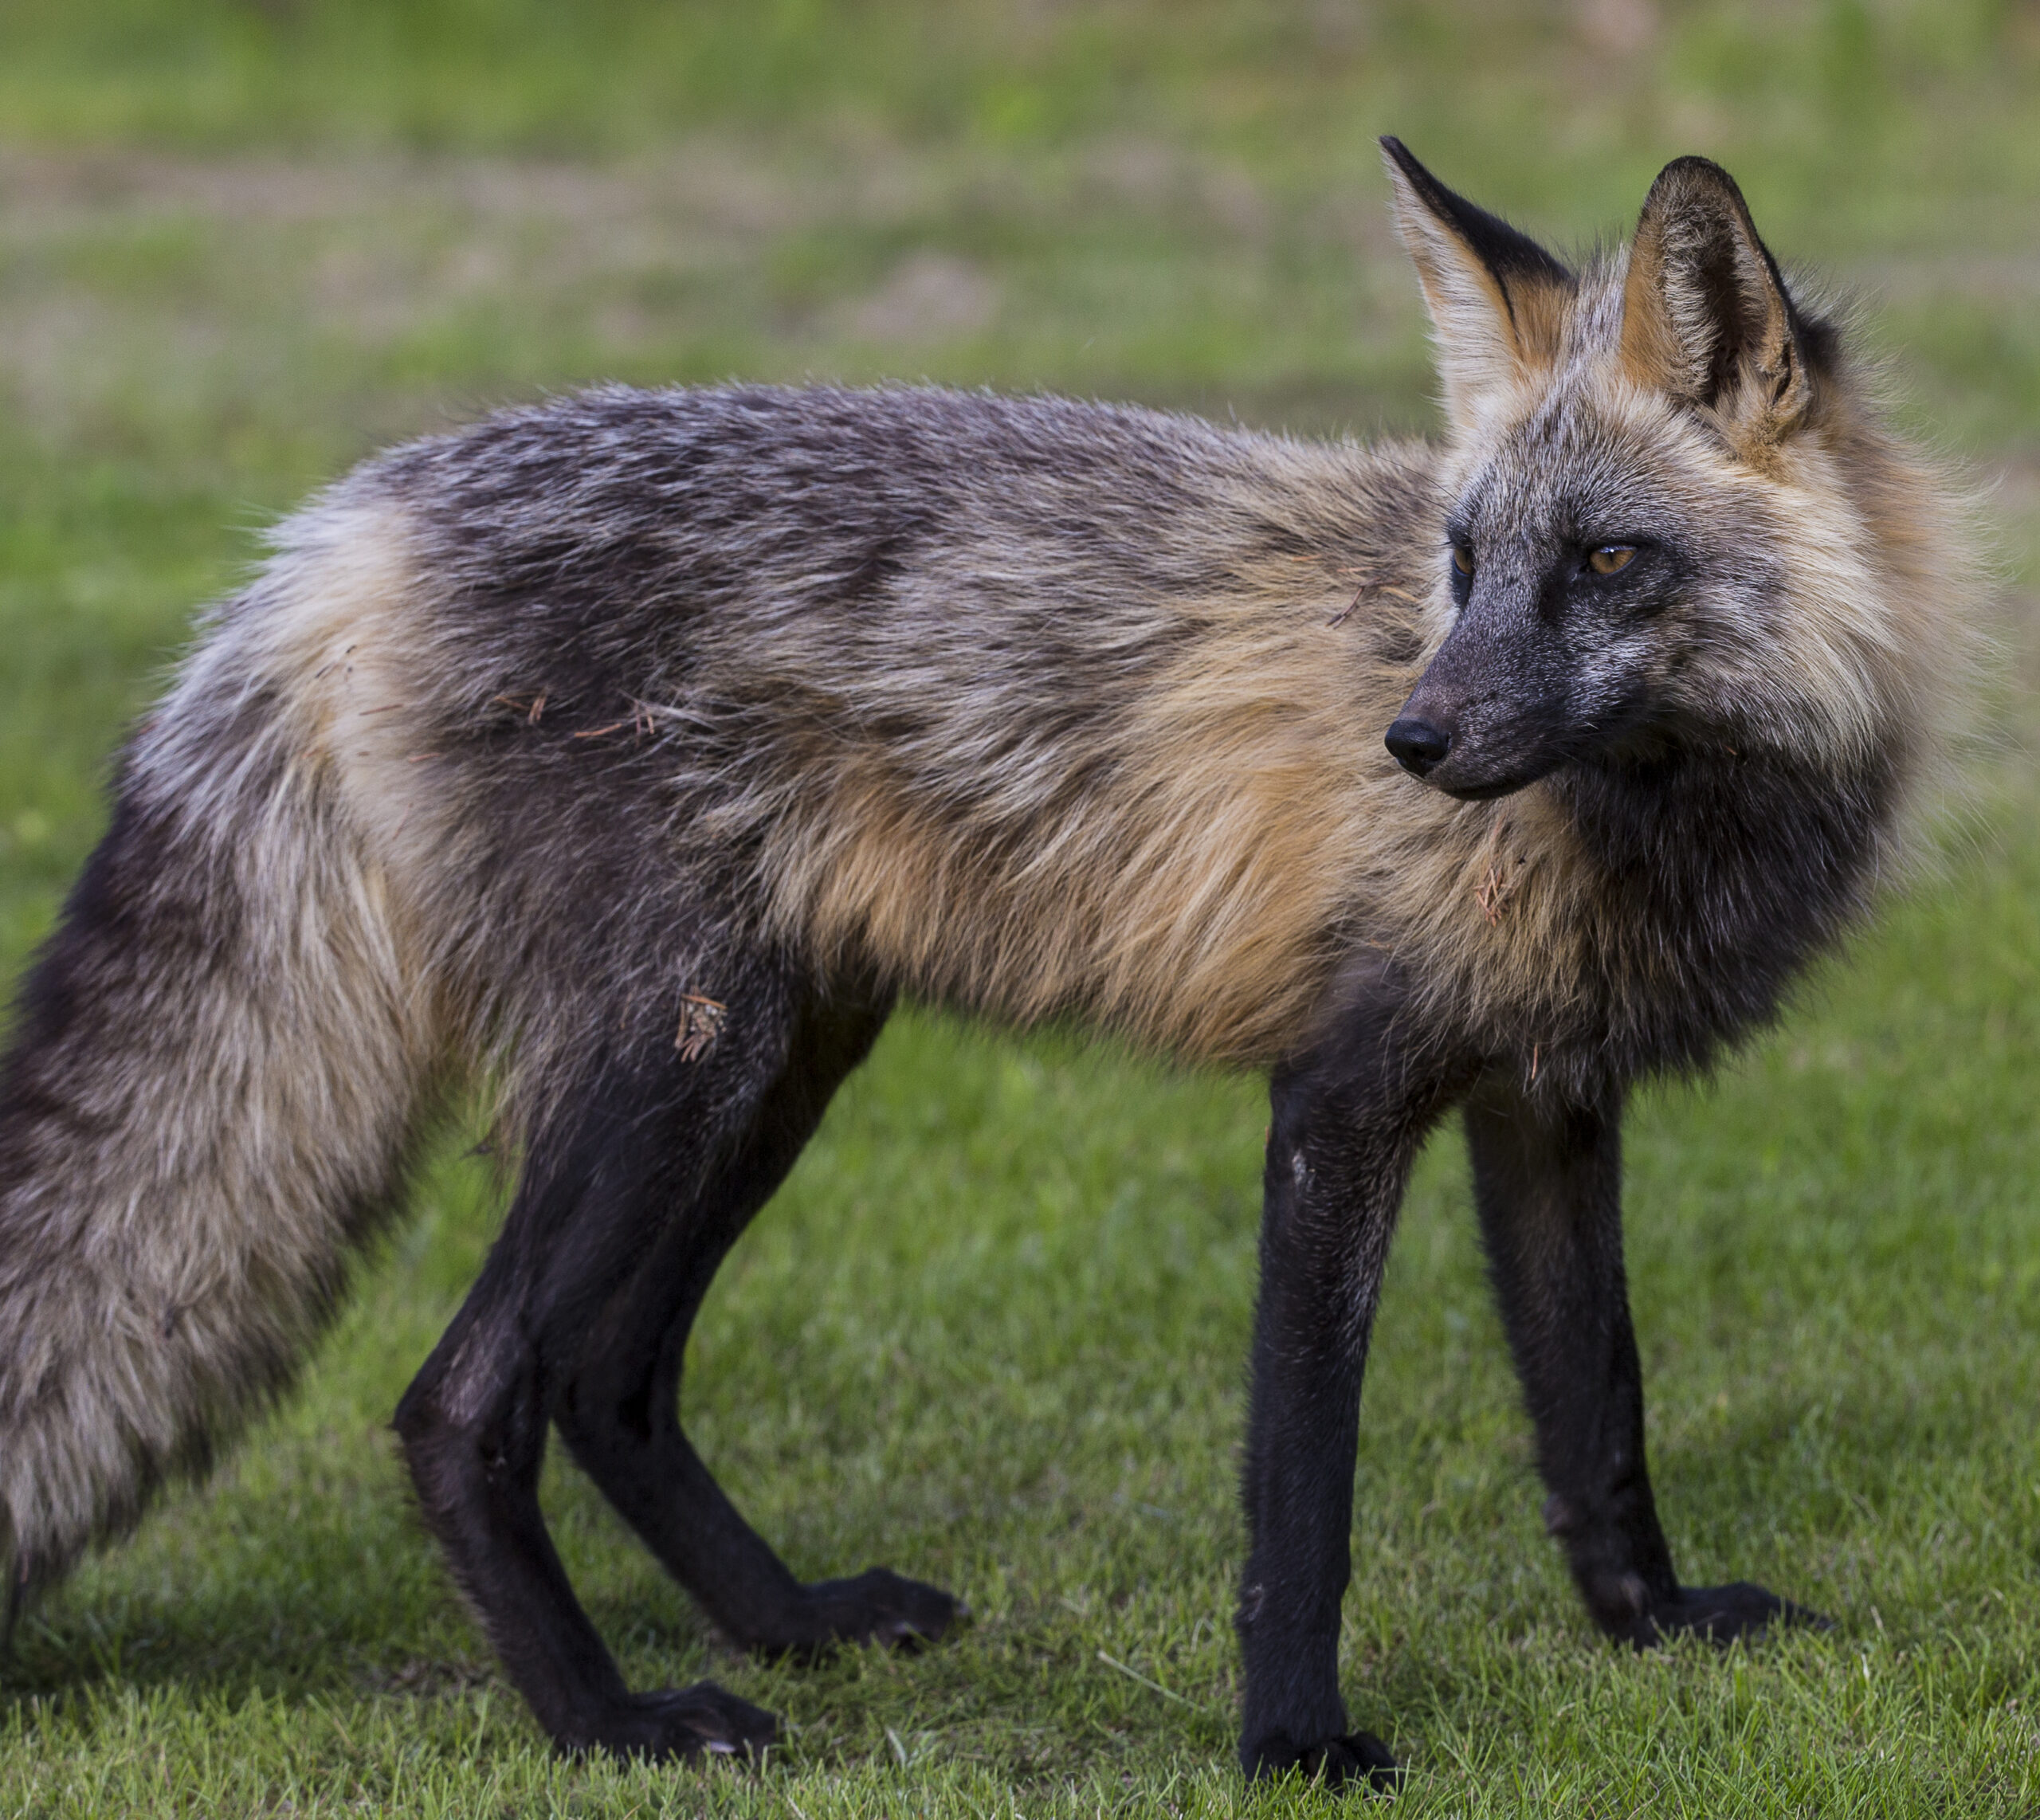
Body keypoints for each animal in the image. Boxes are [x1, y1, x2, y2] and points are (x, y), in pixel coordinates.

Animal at [0, 140, 1978, 1790]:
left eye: (1606, 559)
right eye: (1465, 558)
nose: (1408, 743)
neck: (1643, 824)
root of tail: (346, 524)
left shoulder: (1543, 1098)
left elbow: (1597, 1408)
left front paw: (1651, 1624)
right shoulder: (1338, 1101)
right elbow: (1299, 1492)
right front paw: (1290, 1741)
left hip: (770, 1059)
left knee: (608, 1376)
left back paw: (791, 1625)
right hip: (671, 1063)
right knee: (462, 1401)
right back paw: (610, 1722)